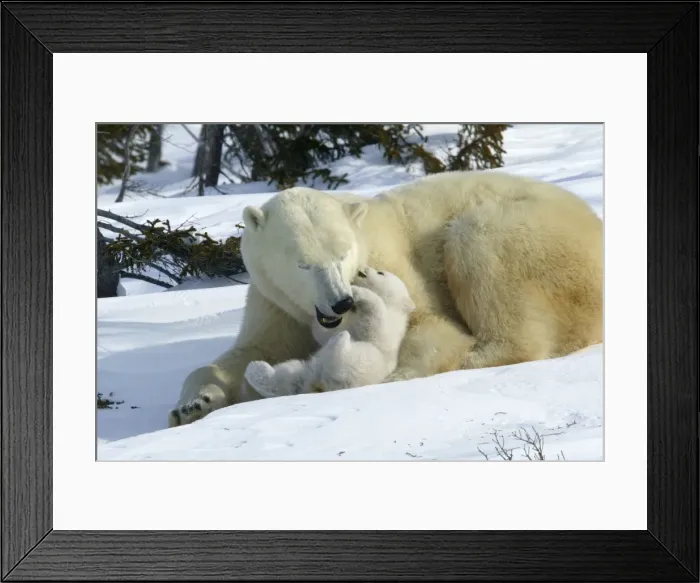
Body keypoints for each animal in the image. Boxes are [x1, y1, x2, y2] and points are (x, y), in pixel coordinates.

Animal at [243, 267, 416, 399]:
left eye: (381, 272)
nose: (362, 269)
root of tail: (321, 385)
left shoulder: (391, 326)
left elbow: (375, 326)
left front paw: (357, 291)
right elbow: (323, 333)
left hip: (362, 364)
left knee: (341, 362)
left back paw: (341, 340)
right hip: (308, 370)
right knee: (287, 378)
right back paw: (255, 368)